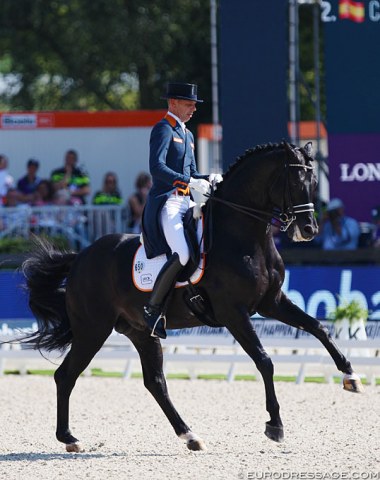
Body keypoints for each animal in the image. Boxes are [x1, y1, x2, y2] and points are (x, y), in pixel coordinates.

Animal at [20, 141, 362, 452]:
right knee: (65, 376)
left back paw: (190, 436)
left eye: (314, 183)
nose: (308, 230)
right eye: (294, 182)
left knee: (155, 383)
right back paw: (69, 438)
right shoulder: (233, 313)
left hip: (140, 332)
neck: (244, 237)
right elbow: (265, 361)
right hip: (93, 329)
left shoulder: (271, 303)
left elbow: (318, 327)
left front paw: (350, 376)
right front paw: (275, 425)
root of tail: (80, 257)